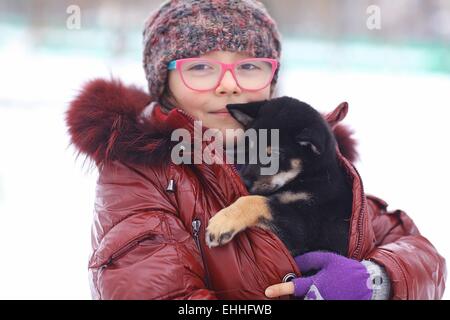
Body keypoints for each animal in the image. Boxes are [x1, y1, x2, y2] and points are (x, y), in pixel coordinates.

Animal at [206, 96, 354, 256]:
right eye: (248, 149)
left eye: (273, 156)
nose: (243, 182)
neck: (310, 176)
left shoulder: (306, 226)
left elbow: (257, 201)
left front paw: (221, 222)